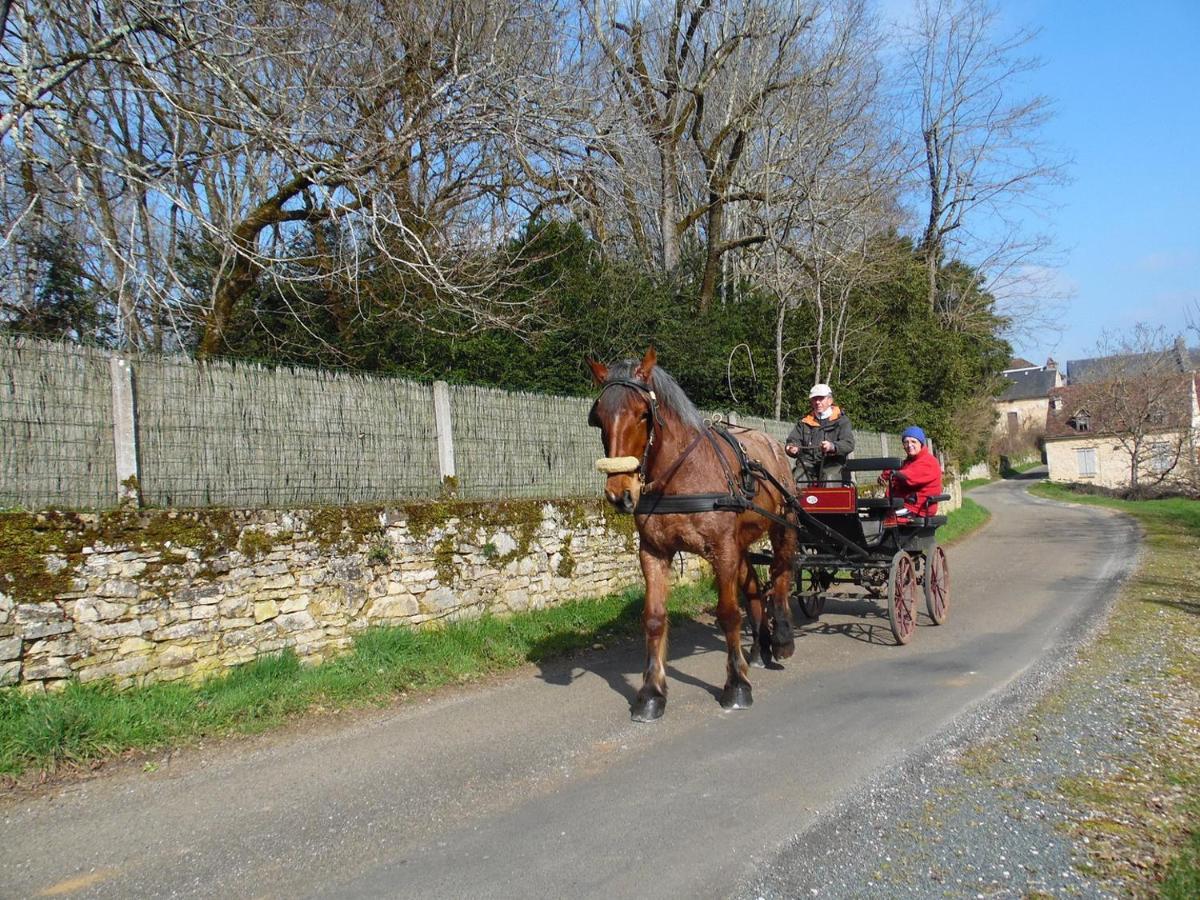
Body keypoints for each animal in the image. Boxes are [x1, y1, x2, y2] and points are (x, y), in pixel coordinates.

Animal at [583, 348, 796, 724]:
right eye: (599, 418)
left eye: (643, 414)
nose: (619, 493)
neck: (681, 475)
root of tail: (771, 443)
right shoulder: (654, 552)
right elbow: (654, 618)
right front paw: (651, 693)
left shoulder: (722, 550)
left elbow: (728, 614)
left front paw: (736, 685)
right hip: (742, 543)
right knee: (755, 587)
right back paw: (759, 649)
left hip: (782, 524)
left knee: (781, 575)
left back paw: (782, 638)